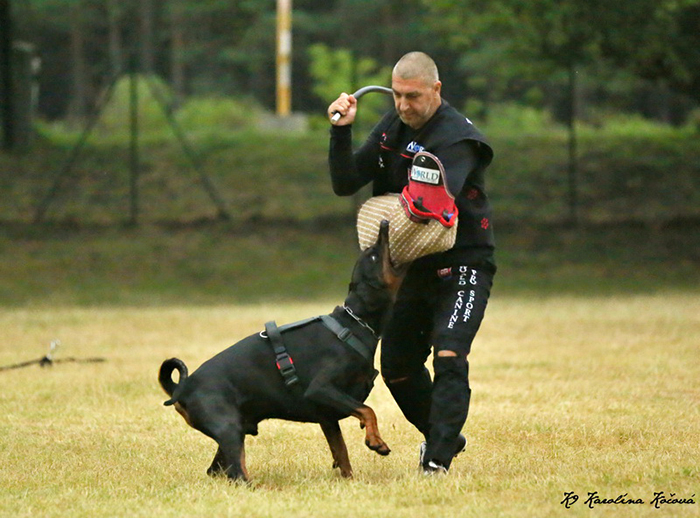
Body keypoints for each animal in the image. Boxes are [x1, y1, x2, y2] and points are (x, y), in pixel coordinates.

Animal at [159, 221, 404, 481]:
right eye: (374, 256)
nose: (384, 224)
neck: (354, 324)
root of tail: (182, 387)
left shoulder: (327, 416)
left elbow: (341, 452)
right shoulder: (321, 388)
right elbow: (368, 410)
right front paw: (376, 441)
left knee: (217, 471)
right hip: (229, 427)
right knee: (238, 473)